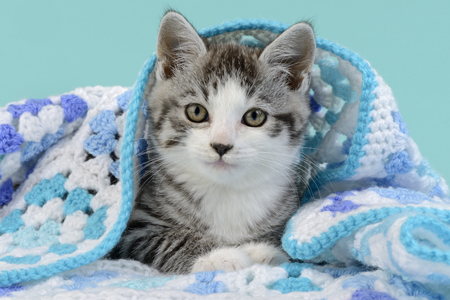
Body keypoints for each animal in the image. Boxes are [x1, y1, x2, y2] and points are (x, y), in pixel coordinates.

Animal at [110, 11, 312, 274]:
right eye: (196, 111)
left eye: (255, 116)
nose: (221, 145)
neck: (227, 192)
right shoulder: (133, 229)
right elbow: (167, 239)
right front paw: (219, 256)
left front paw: (263, 249)